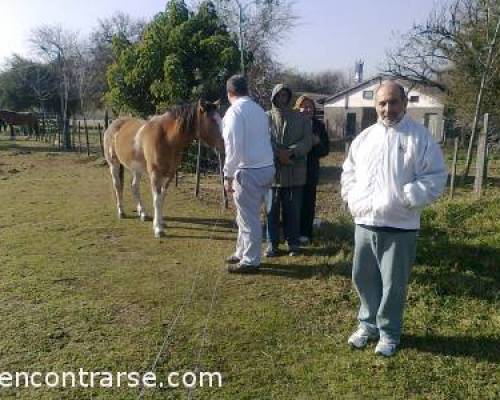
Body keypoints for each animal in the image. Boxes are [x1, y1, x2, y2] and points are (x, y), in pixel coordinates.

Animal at [102, 100, 224, 238]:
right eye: (212, 120)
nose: (224, 146)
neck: (167, 138)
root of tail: (114, 124)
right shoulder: (155, 174)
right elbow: (156, 199)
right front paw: (158, 229)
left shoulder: (170, 174)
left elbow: (162, 197)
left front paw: (160, 222)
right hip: (114, 164)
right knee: (117, 186)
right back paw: (121, 212)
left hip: (137, 169)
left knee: (134, 187)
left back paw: (142, 213)